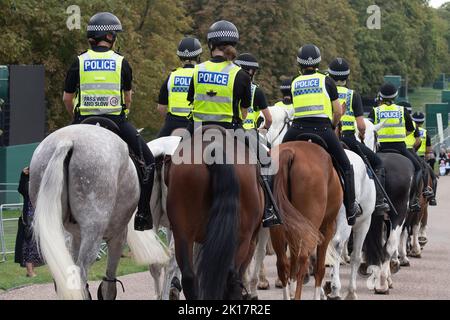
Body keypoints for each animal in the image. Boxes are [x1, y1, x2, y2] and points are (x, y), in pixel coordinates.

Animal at [29, 124, 170, 298]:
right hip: (94, 231)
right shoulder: (118, 237)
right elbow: (109, 284)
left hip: (55, 231)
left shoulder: (76, 237)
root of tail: (66, 140)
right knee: (80, 274)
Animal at [165, 125, 264, 300]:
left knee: (189, 276)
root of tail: (213, 149)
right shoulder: (252, 240)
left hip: (182, 232)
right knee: (231, 277)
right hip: (243, 237)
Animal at [268, 140, 342, 300]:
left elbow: (292, 263)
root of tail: (290, 152)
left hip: (276, 227)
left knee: (282, 263)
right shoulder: (326, 228)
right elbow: (319, 268)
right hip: (311, 226)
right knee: (303, 261)